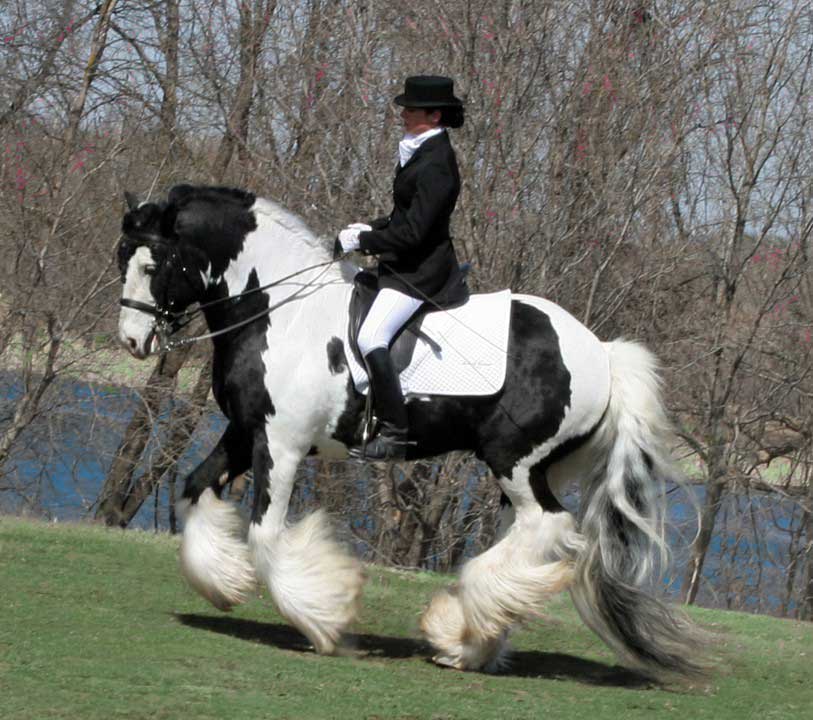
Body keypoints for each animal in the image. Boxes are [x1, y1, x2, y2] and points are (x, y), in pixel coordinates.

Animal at [116, 184, 702, 678]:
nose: (131, 342)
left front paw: (325, 618)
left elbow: (265, 534)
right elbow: (193, 489)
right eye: (124, 259)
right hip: (534, 470)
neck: (281, 314)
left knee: (549, 526)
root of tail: (603, 353)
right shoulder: (245, 431)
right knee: (526, 537)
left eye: (152, 263)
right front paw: (223, 583)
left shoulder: (281, 444)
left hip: (515, 461)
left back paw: (463, 632)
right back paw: (469, 639)